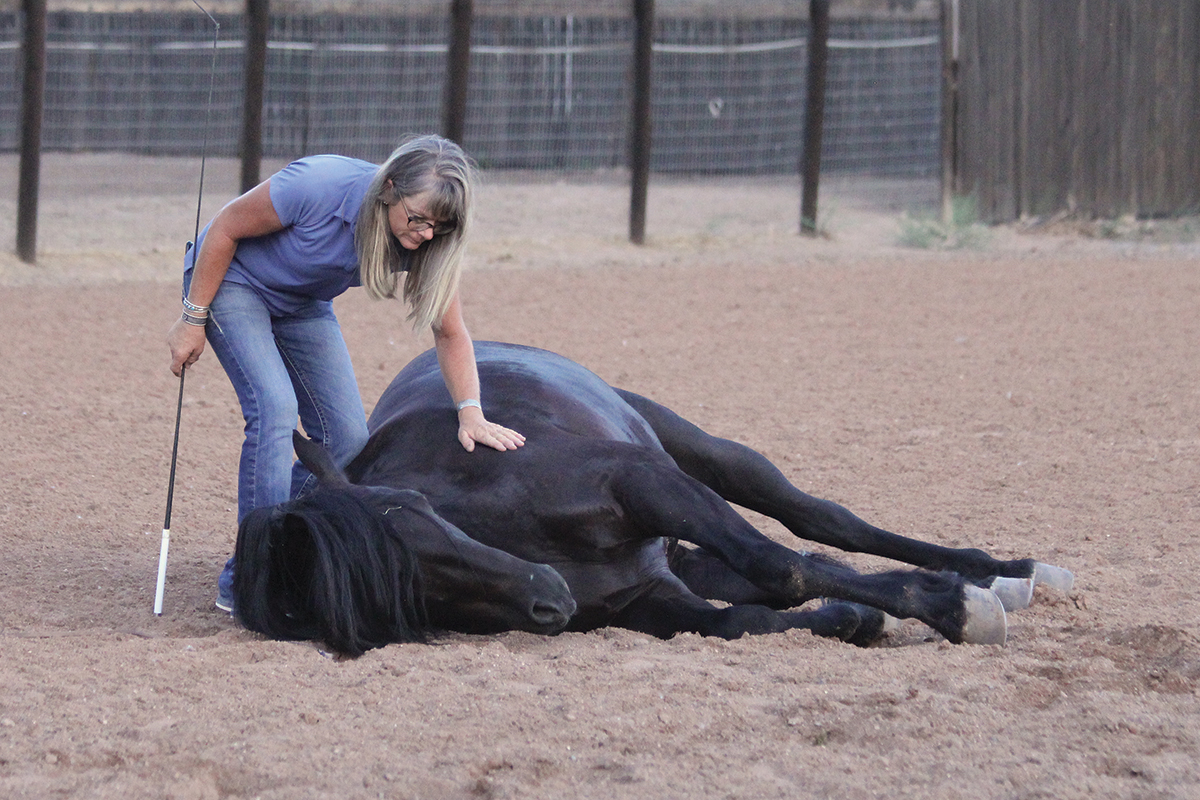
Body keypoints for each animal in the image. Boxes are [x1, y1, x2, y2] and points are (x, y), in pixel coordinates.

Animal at [229, 340, 1075, 657]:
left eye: (417, 512)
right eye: (400, 584)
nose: (549, 596)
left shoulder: (644, 482)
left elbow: (782, 567)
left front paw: (951, 605)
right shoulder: (649, 601)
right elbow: (745, 618)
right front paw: (858, 618)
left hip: (705, 459)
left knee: (818, 521)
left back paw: (1002, 571)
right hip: (679, 555)